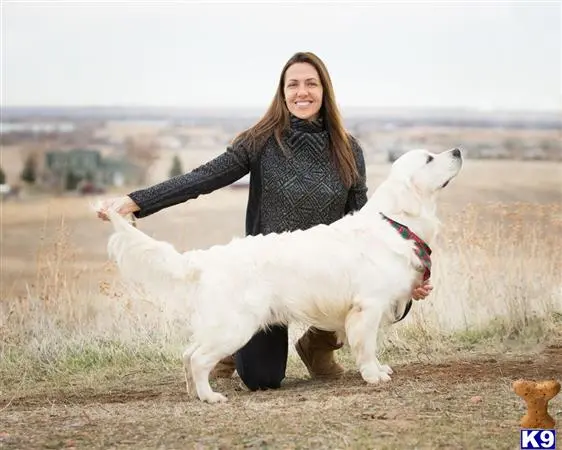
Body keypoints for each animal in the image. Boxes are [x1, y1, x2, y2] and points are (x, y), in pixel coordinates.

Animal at [96, 149, 462, 404]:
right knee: (198, 358)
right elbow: (367, 346)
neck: (396, 221)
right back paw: (211, 396)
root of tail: (206, 258)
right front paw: (373, 374)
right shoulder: (368, 306)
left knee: (188, 354)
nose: (458, 151)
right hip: (236, 325)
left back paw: (194, 393)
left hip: (220, 324)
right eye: (429, 158)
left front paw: (380, 369)